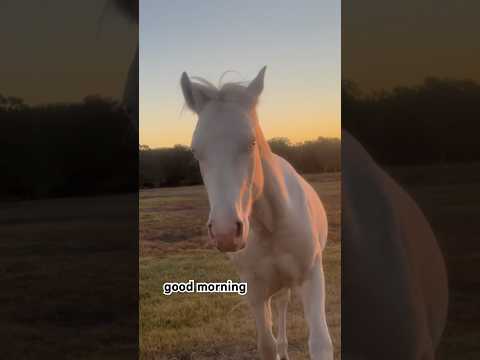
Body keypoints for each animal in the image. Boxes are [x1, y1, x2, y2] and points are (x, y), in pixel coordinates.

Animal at [180, 68, 334, 360]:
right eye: (195, 151)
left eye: (251, 142)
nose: (226, 232)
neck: (270, 225)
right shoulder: (254, 290)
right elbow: (266, 344)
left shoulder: (312, 277)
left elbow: (321, 343)